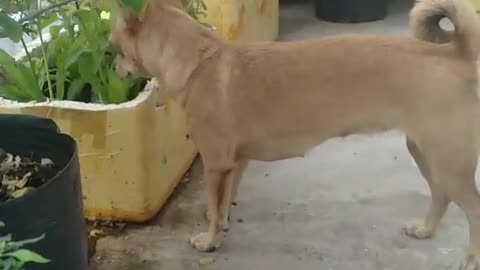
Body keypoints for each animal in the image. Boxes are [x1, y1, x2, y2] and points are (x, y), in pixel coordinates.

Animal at [112, 0, 480, 268]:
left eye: (114, 48)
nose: (114, 68)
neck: (200, 60)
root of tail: (456, 55)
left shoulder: (216, 165)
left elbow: (214, 208)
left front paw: (210, 240)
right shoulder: (235, 163)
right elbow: (224, 202)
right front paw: (223, 223)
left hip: (449, 164)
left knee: (472, 208)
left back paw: (471, 259)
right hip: (425, 154)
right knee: (441, 195)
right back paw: (425, 229)